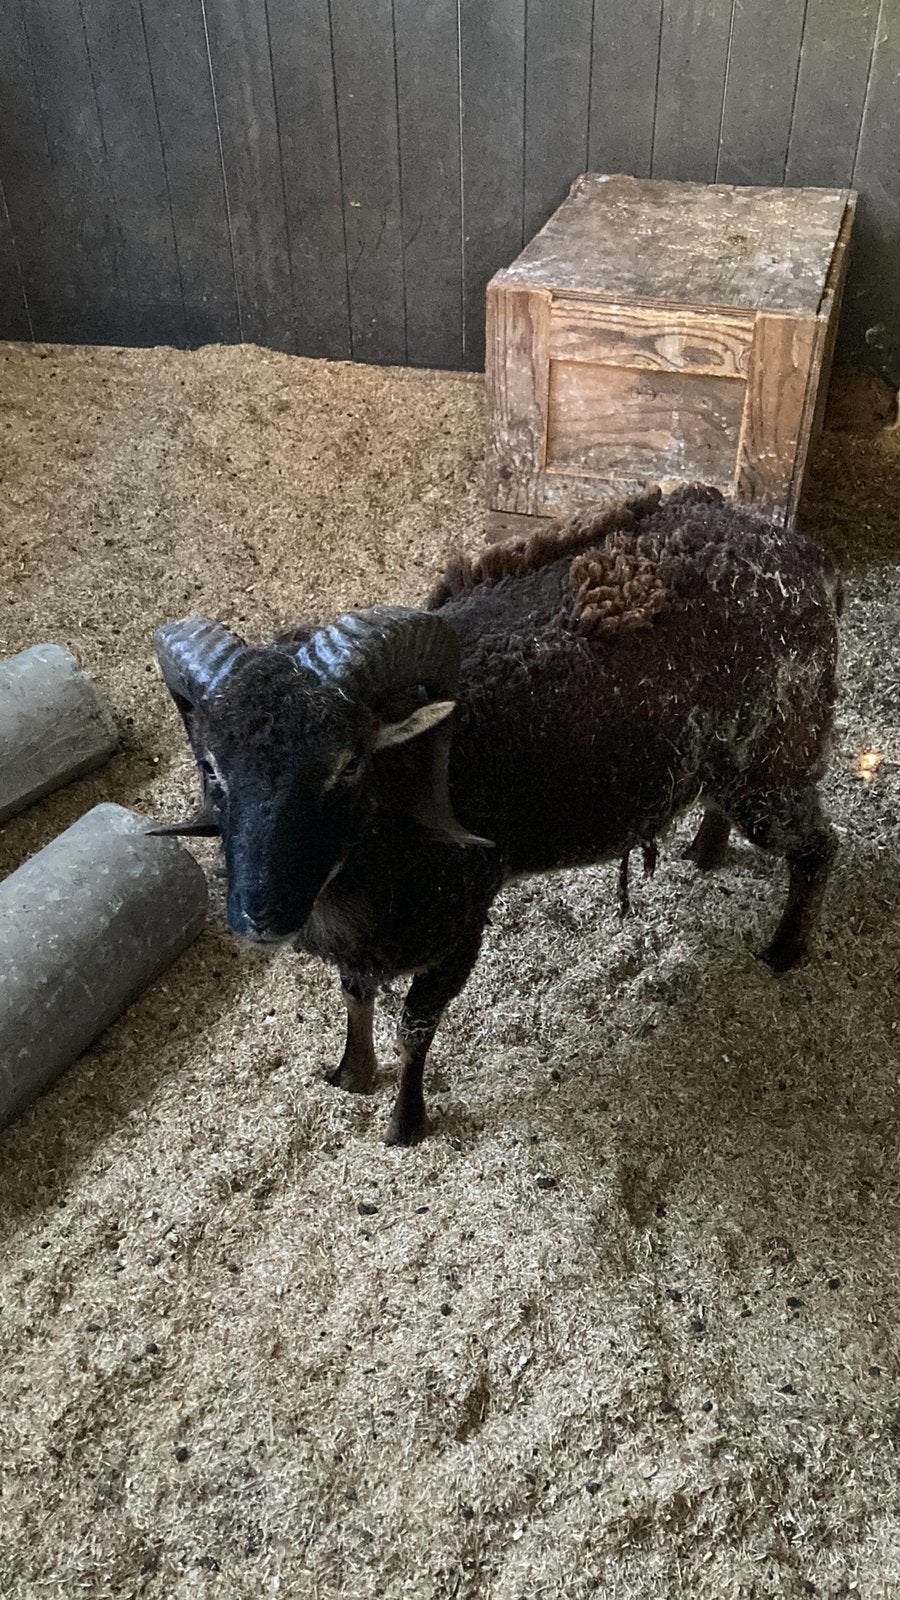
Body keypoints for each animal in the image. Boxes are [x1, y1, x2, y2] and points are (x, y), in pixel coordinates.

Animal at [152, 484, 841, 1146]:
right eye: (211, 767)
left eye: (349, 764)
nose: (260, 914)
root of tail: (802, 555)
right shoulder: (367, 938)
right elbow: (355, 995)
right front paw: (352, 1074)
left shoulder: (462, 923)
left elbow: (416, 1027)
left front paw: (405, 1124)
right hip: (733, 760)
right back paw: (704, 851)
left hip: (779, 753)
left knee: (818, 847)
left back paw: (782, 951)